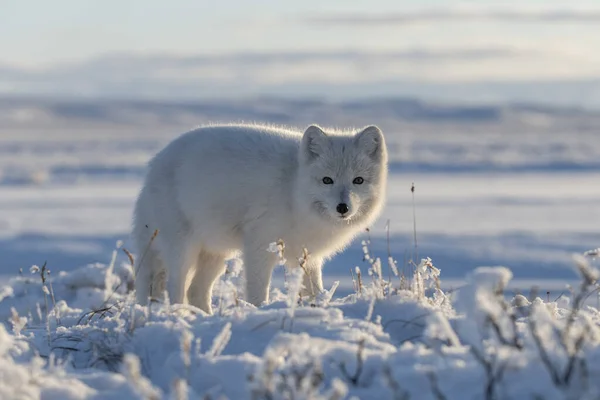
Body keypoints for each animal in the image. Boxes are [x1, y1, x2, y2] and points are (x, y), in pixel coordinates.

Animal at [132, 123, 390, 314]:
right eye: (327, 180)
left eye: (358, 180)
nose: (343, 207)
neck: (293, 189)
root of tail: (154, 166)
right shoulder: (259, 246)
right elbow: (257, 291)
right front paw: (258, 310)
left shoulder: (307, 256)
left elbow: (315, 290)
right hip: (183, 249)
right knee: (175, 289)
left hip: (216, 254)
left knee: (196, 291)